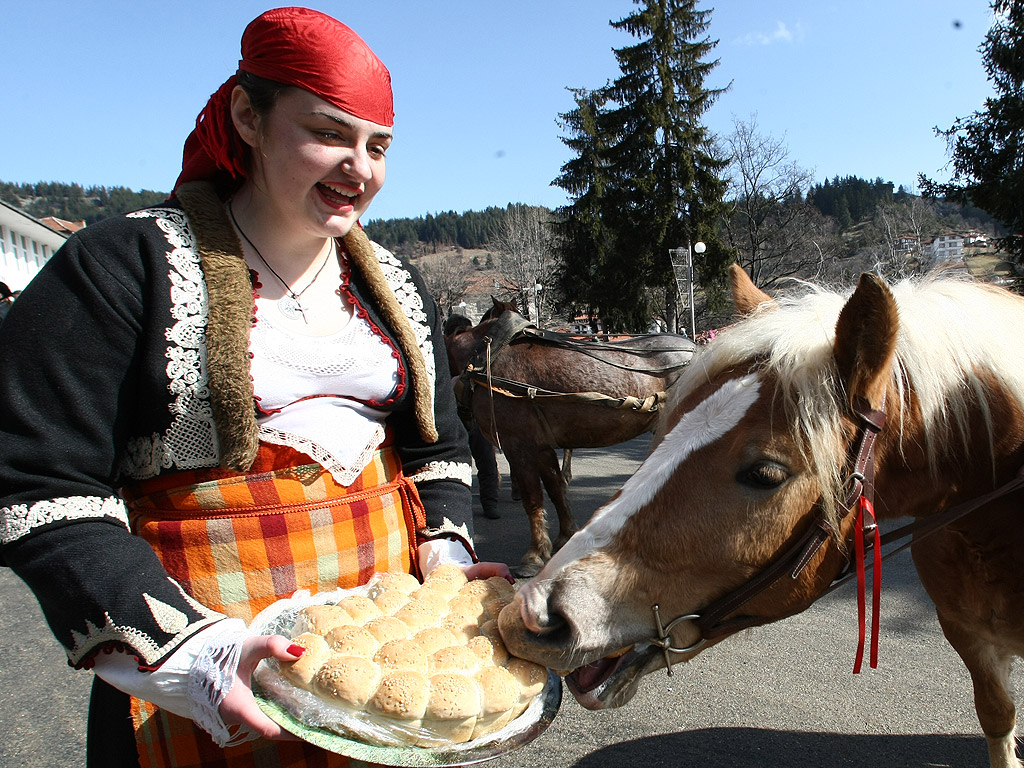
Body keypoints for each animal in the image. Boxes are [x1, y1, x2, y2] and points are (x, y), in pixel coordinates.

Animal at [448, 301, 696, 577]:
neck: (488, 357)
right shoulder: (541, 447)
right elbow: (556, 490)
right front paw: (564, 537)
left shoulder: (519, 446)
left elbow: (532, 499)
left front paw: (534, 555)